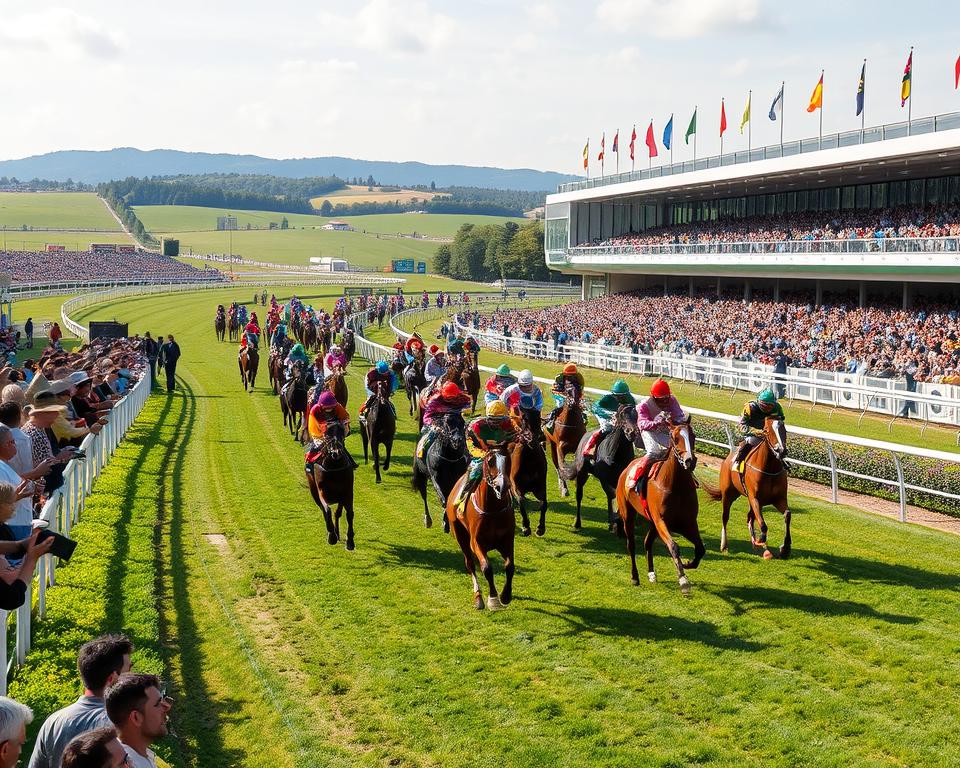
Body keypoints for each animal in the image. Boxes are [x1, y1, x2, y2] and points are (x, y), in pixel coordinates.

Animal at [444, 444, 512, 612]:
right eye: (490, 461)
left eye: (508, 459)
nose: (502, 486)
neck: (493, 511)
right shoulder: (476, 542)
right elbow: (486, 567)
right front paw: (493, 599)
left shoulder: (507, 540)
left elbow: (509, 566)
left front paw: (505, 596)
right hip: (460, 535)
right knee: (470, 564)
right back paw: (479, 597)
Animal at [510, 404, 548, 536]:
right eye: (524, 418)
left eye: (539, 418)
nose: (537, 438)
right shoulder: (516, 486)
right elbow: (521, 501)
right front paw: (526, 526)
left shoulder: (540, 487)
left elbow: (544, 503)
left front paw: (540, 528)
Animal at [564, 408, 644, 536]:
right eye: (622, 415)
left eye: (636, 415)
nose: (632, 432)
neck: (616, 456)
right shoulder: (604, 478)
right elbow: (613, 494)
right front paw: (616, 522)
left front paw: (618, 526)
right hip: (582, 473)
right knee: (579, 495)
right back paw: (577, 523)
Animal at [616, 420, 704, 592]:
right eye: (675, 438)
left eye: (693, 436)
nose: (690, 461)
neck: (677, 486)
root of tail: (627, 469)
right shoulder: (661, 521)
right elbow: (673, 546)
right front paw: (683, 579)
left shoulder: (687, 524)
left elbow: (700, 549)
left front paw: (688, 563)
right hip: (628, 514)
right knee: (631, 544)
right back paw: (635, 577)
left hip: (652, 522)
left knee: (647, 542)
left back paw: (651, 573)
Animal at [700, 420, 792, 560]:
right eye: (767, 430)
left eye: (784, 429)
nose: (781, 450)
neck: (769, 469)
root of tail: (730, 454)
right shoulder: (755, 498)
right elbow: (763, 524)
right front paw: (762, 540)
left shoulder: (778, 499)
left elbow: (787, 515)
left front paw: (785, 548)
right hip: (728, 494)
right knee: (725, 517)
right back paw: (724, 545)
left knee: (750, 518)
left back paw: (758, 545)